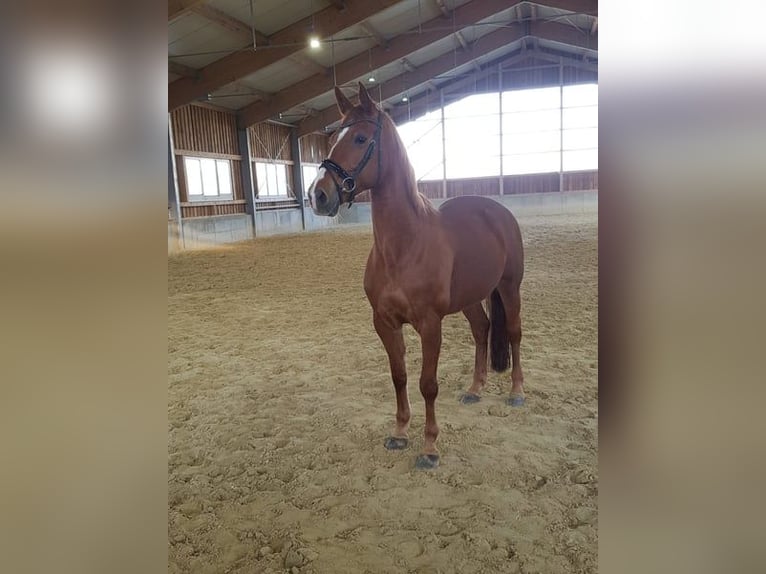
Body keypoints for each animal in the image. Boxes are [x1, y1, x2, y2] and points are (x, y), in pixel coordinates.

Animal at [307, 83, 525, 470]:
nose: (318, 194)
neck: (404, 246)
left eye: (361, 138)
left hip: (509, 287)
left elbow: (428, 384)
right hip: (471, 298)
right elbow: (399, 377)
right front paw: (399, 433)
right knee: (482, 330)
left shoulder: (430, 323)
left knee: (513, 332)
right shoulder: (384, 322)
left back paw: (516, 392)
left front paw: (430, 448)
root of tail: (498, 212)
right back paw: (475, 390)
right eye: (332, 138)